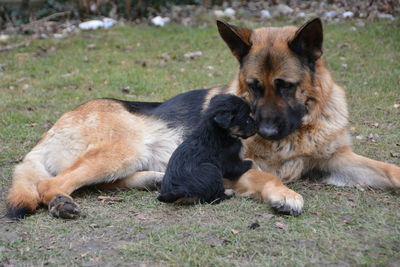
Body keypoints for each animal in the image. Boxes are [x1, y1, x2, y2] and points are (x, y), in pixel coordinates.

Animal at [6, 18, 400, 220]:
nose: (264, 130)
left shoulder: (336, 160)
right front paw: (284, 194)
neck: (300, 131)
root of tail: (55, 127)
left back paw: (151, 179)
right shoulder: (239, 166)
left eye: (286, 87)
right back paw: (61, 203)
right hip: (122, 150)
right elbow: (266, 176)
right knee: (49, 186)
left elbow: (387, 169)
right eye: (253, 87)